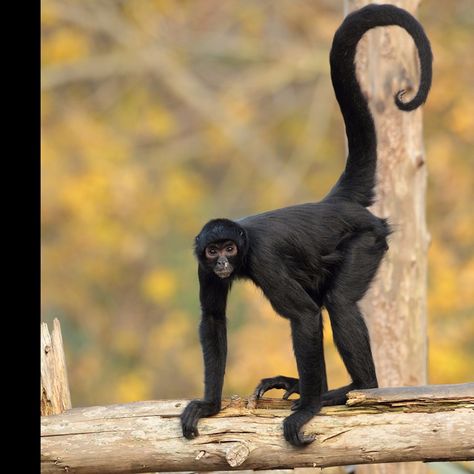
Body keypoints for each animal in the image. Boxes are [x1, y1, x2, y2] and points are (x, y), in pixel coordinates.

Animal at [180, 4, 432, 448]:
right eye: (213, 251)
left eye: (230, 248)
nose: (223, 263)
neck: (244, 246)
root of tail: (335, 203)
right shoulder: (200, 265)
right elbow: (212, 319)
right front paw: (210, 406)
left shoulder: (262, 258)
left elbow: (305, 316)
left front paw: (307, 410)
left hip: (368, 240)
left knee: (339, 303)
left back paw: (353, 388)